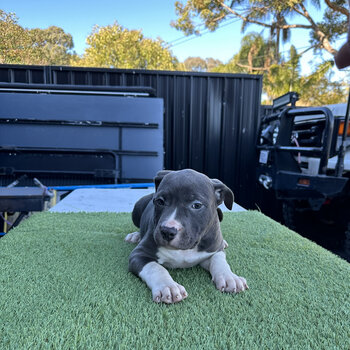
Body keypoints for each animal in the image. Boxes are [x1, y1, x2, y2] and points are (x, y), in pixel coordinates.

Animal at [124, 170, 247, 304]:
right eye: (160, 201)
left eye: (196, 205)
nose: (167, 231)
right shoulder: (139, 254)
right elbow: (155, 267)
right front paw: (168, 286)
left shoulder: (214, 250)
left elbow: (219, 260)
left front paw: (230, 277)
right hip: (136, 209)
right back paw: (135, 236)